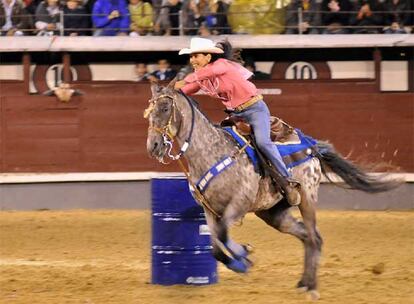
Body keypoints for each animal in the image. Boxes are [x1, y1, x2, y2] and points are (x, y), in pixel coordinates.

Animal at [145, 82, 398, 300]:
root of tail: (311, 146)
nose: (153, 146)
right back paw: (303, 283)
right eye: (149, 111)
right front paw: (241, 262)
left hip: (307, 198)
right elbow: (216, 247)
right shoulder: (209, 210)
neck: (211, 152)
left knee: (314, 237)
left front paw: (244, 254)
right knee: (305, 236)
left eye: (165, 108)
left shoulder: (239, 204)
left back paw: (313, 288)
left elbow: (224, 235)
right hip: (273, 213)